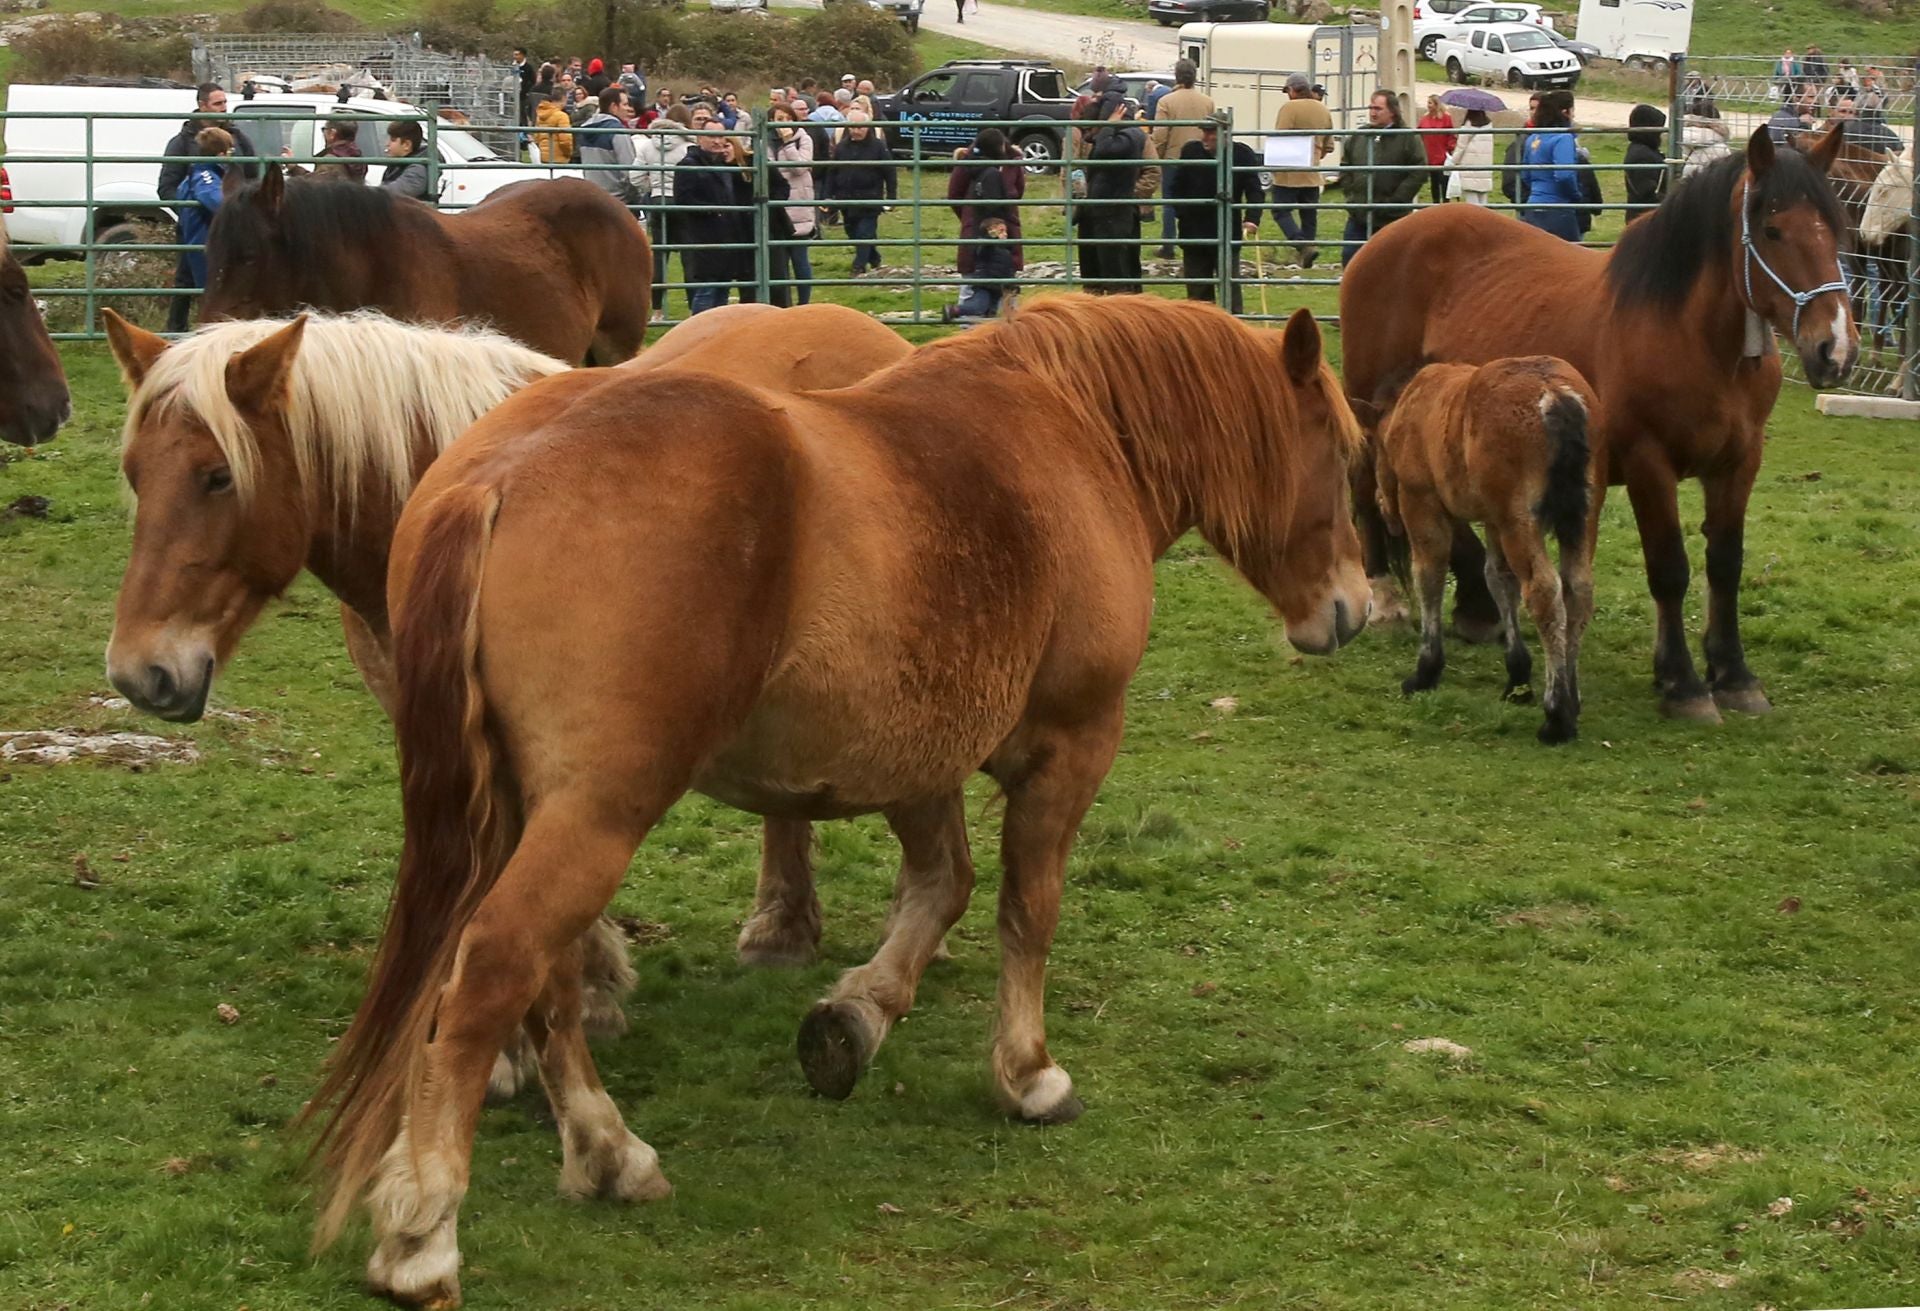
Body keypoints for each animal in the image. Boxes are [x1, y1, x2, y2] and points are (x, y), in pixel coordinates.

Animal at [307, 299, 1374, 1311]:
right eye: (1340, 450)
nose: (1356, 609)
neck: (1070, 433)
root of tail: (500, 473)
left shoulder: (920, 757)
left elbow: (941, 886)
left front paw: (856, 1016)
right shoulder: (1071, 745)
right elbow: (1025, 908)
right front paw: (1027, 1073)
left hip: (524, 811)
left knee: (551, 979)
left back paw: (607, 1153)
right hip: (595, 817)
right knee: (496, 967)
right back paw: (424, 1234)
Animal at [1367, 358, 1605, 744]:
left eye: (1373, 447)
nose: (1381, 506)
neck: (1410, 404)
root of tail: (1557, 394)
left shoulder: (1422, 503)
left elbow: (1429, 574)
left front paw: (1425, 671)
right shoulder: (1493, 522)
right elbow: (1499, 579)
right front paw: (1517, 676)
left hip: (1520, 522)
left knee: (1544, 593)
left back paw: (1557, 716)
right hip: (1583, 518)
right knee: (1577, 590)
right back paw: (1572, 697)